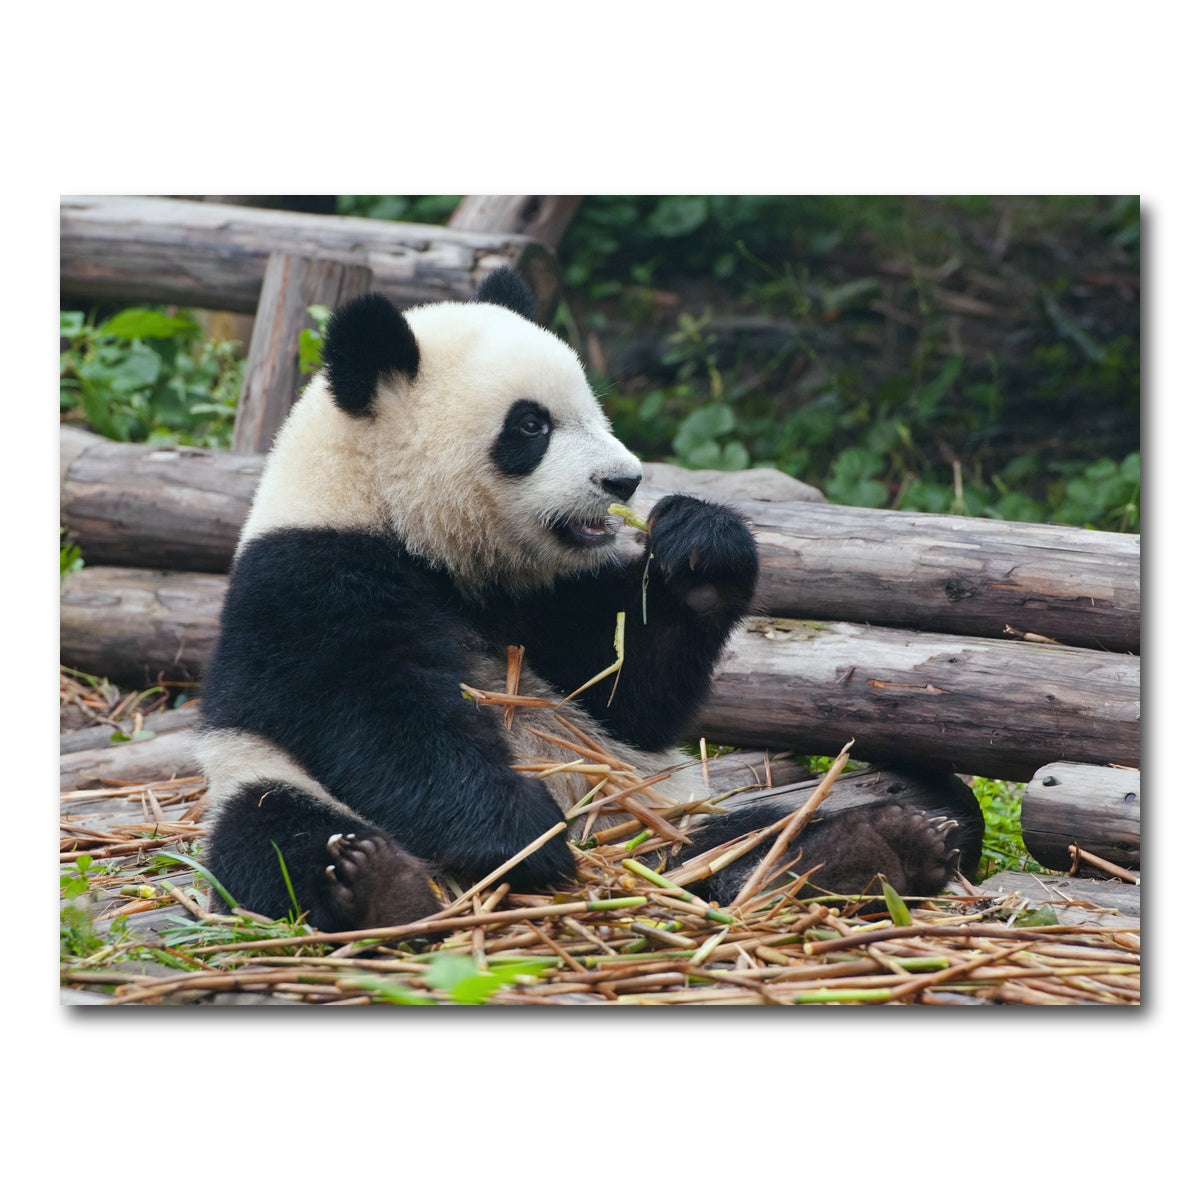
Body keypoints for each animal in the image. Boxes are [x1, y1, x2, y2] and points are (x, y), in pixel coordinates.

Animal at [196, 267, 981, 932]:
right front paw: (523, 837)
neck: (407, 525)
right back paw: (379, 887)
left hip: (655, 815)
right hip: (259, 779)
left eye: (592, 410)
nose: (623, 480)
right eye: (531, 425)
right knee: (275, 835)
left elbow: (626, 690)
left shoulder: (541, 596)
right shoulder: (309, 578)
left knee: (741, 835)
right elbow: (380, 717)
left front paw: (701, 550)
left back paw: (871, 848)